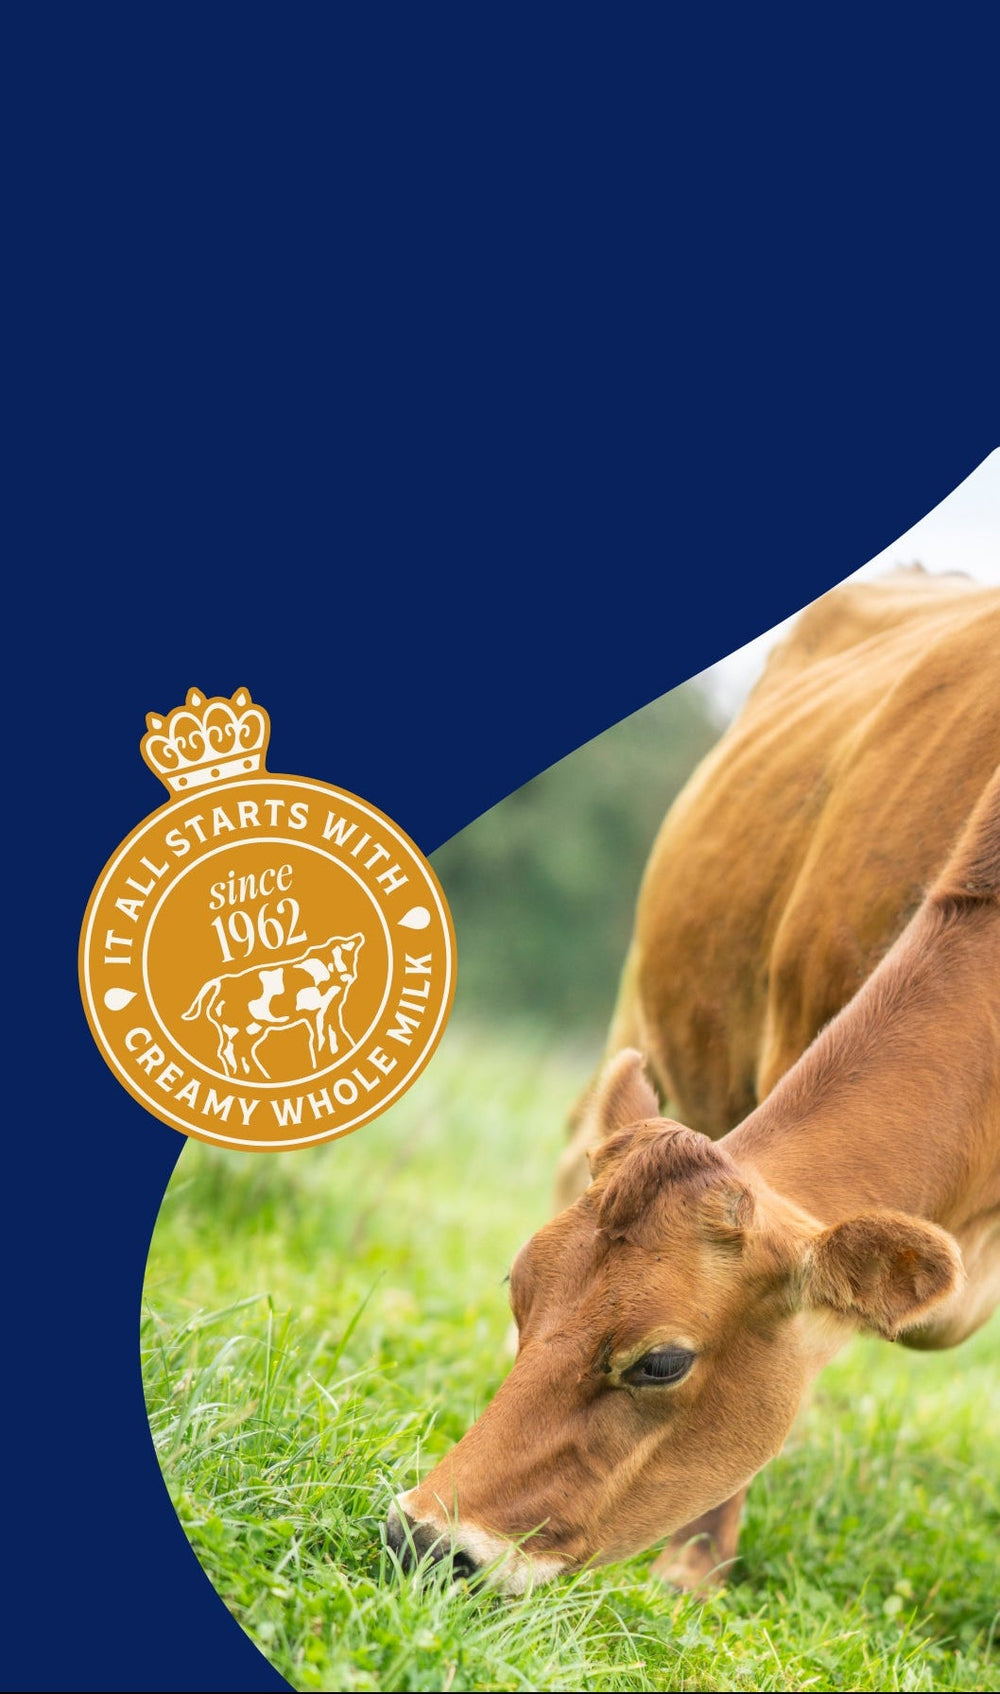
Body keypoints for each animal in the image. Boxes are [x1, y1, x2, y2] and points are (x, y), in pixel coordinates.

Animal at [181, 933, 364, 1079]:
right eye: (337, 957)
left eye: (350, 956)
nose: (347, 975)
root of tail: (220, 982)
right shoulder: (316, 1010)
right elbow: (320, 1036)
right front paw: (320, 1061)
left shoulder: (333, 1006)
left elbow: (336, 1029)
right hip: (234, 1028)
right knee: (228, 1051)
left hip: (252, 1028)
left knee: (239, 1050)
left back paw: (259, 1076)